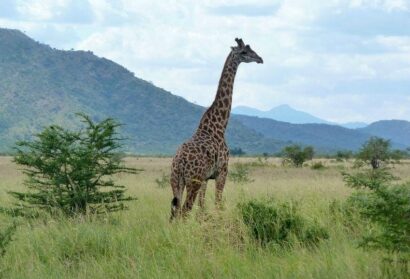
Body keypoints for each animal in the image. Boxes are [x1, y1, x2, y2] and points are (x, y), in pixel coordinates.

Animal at [170, 37, 262, 221]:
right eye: (244, 52)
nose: (260, 59)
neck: (219, 127)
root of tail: (179, 162)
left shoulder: (206, 178)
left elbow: (202, 207)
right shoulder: (222, 172)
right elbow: (218, 204)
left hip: (176, 182)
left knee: (174, 214)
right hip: (193, 181)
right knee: (184, 212)